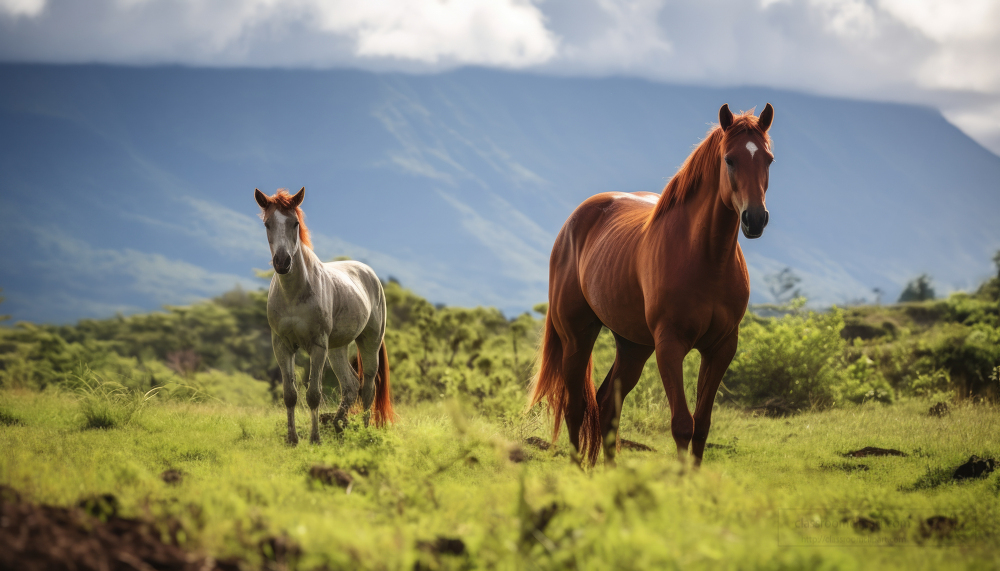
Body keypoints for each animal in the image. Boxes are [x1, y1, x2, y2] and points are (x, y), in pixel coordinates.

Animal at [252, 188, 392, 446]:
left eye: (295, 223)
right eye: (267, 224)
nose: (282, 262)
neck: (294, 293)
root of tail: (370, 274)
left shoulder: (317, 345)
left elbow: (313, 395)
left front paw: (315, 438)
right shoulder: (282, 345)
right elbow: (290, 395)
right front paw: (292, 439)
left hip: (369, 342)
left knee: (368, 387)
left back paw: (363, 432)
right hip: (336, 348)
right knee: (350, 385)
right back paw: (338, 424)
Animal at [532, 105, 772, 466]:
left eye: (768, 159)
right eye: (729, 159)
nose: (755, 219)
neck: (707, 257)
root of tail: (573, 224)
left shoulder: (721, 348)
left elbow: (702, 425)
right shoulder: (669, 345)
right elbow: (683, 425)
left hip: (633, 346)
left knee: (606, 405)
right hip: (577, 336)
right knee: (576, 408)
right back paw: (577, 472)